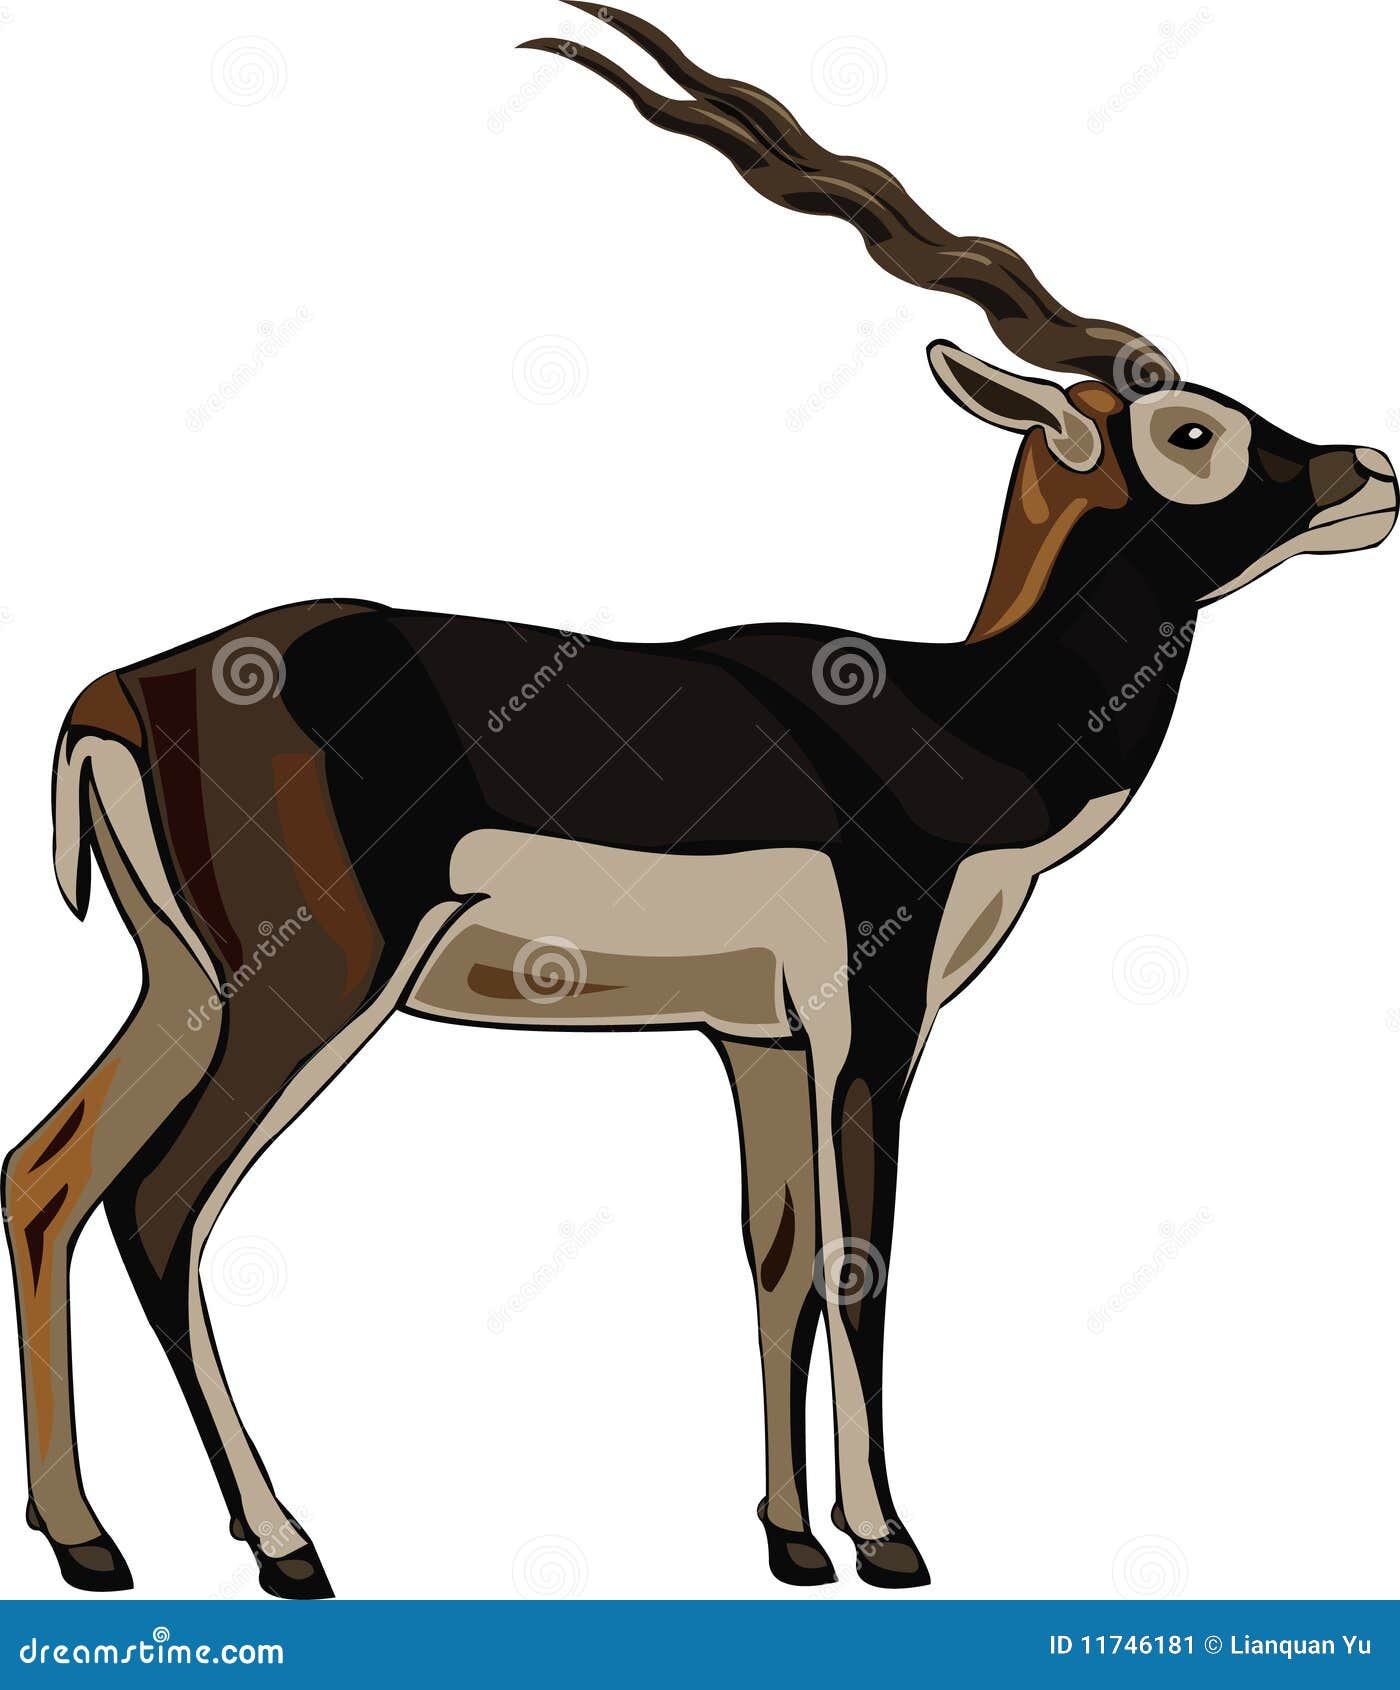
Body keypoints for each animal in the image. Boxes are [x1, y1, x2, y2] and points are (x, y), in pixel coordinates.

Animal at [6, 5, 1394, 1600]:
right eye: (1190, 432)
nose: (1372, 469)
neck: (950, 716)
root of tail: (120, 689)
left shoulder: (754, 1035)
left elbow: (775, 1254)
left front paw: (791, 1539)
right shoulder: (874, 1007)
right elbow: (861, 1256)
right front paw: (890, 1538)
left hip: (187, 983)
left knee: (44, 1170)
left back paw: (86, 1538)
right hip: (310, 983)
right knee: (158, 1206)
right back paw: (288, 1544)